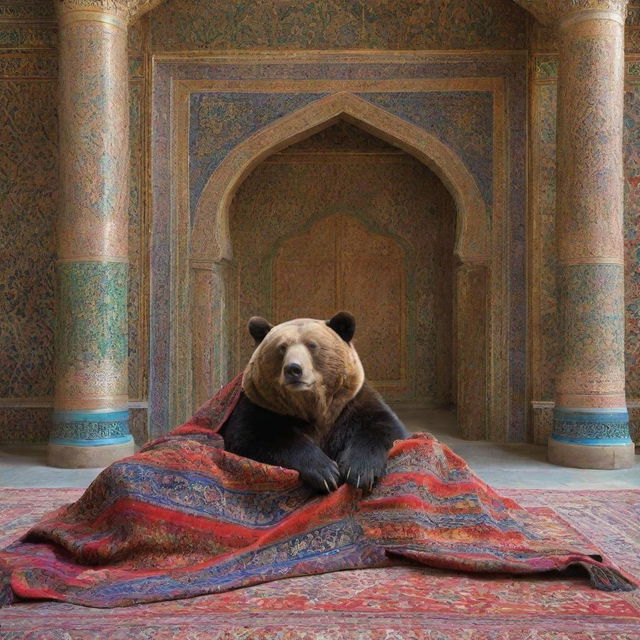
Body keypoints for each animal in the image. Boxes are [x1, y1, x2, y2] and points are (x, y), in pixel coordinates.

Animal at [220, 312, 408, 492]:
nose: (293, 369)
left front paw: (360, 472)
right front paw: (326, 474)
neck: (310, 404)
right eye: (282, 348)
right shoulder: (261, 404)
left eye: (312, 345)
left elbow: (383, 427)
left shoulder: (351, 404)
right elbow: (253, 436)